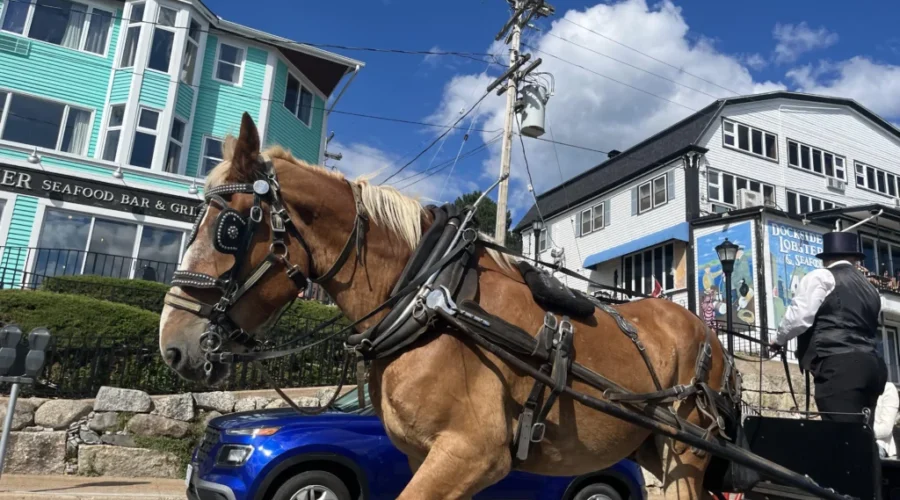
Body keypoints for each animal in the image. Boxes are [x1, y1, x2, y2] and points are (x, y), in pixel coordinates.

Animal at [159, 113, 733, 500]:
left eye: (230, 228)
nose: (172, 344)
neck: (429, 299)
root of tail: (708, 332)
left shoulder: (471, 452)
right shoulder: (426, 457)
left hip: (686, 452)